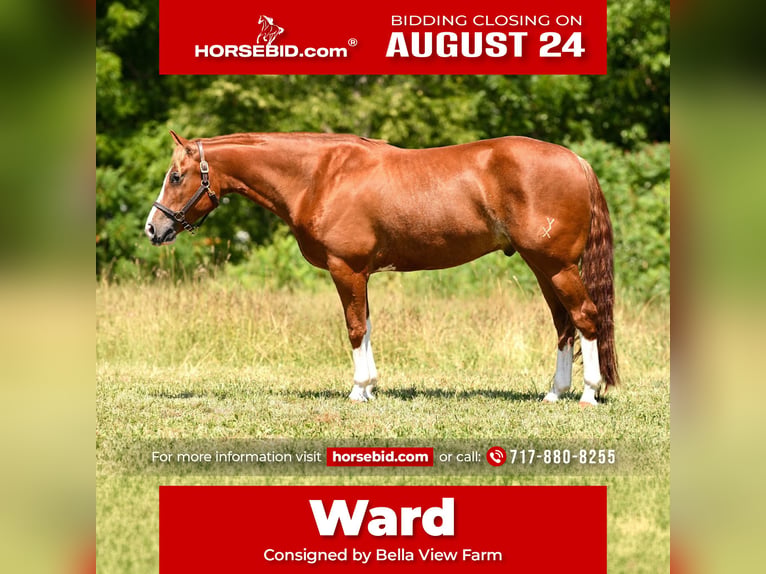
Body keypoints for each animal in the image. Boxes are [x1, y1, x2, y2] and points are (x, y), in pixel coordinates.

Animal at [145, 131, 618, 405]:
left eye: (175, 176)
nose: (153, 227)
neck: (321, 176)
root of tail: (577, 161)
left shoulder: (346, 269)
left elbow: (355, 328)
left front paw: (357, 391)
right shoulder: (361, 273)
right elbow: (368, 326)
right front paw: (371, 386)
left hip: (556, 266)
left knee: (585, 317)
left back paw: (588, 394)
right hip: (544, 267)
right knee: (563, 324)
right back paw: (554, 393)